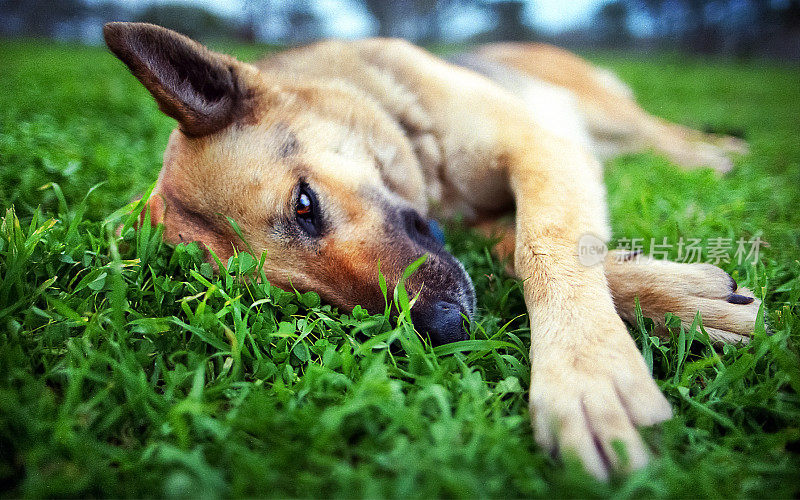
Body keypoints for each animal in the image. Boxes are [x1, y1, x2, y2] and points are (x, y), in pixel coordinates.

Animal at [103, 21, 760, 478]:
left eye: (304, 204)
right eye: (296, 299)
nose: (446, 329)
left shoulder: (540, 147)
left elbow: (542, 245)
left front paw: (586, 374)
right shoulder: (491, 214)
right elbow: (524, 251)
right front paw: (678, 299)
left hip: (606, 115)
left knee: (663, 134)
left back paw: (719, 155)